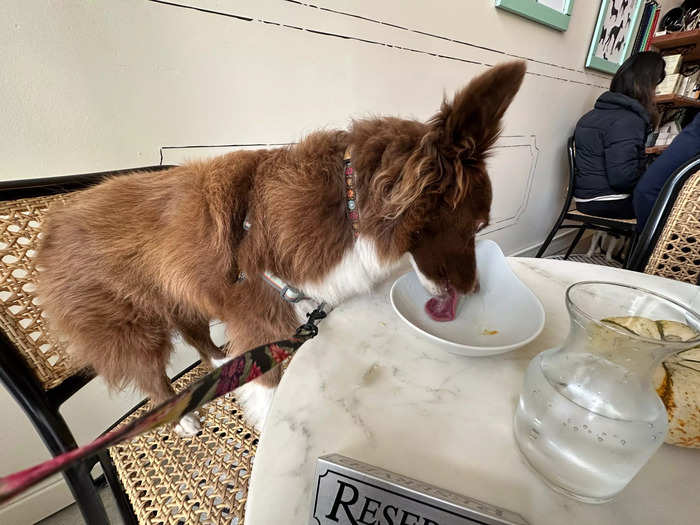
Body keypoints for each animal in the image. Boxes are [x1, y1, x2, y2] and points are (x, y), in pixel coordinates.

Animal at [35, 61, 524, 432]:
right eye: (475, 226)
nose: (476, 292)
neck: (348, 204)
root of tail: (54, 224)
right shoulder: (259, 318)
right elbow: (270, 391)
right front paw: (267, 423)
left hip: (180, 294)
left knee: (196, 334)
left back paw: (221, 360)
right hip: (131, 326)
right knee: (150, 372)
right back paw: (183, 417)